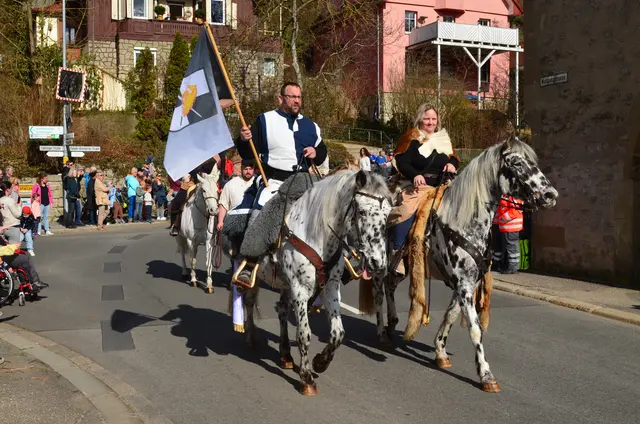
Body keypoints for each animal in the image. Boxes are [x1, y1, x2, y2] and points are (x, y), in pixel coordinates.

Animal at [231, 170, 392, 396]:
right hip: (256, 276)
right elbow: (304, 334)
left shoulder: (331, 289)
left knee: (281, 310)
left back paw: (286, 354)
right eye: (361, 211)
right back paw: (250, 337)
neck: (317, 234)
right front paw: (306, 378)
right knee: (249, 301)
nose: (378, 262)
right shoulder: (300, 290)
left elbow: (338, 334)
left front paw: (320, 363)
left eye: (388, 213)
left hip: (285, 284)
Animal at [361, 136, 558, 392]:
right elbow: (475, 329)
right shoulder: (463, 284)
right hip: (380, 261)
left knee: (390, 286)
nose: (550, 195)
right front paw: (486, 374)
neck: (463, 220)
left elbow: (451, 316)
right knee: (378, 291)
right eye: (516, 163)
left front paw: (440, 352)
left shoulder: (467, 283)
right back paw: (382, 332)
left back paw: (392, 323)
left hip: (402, 265)